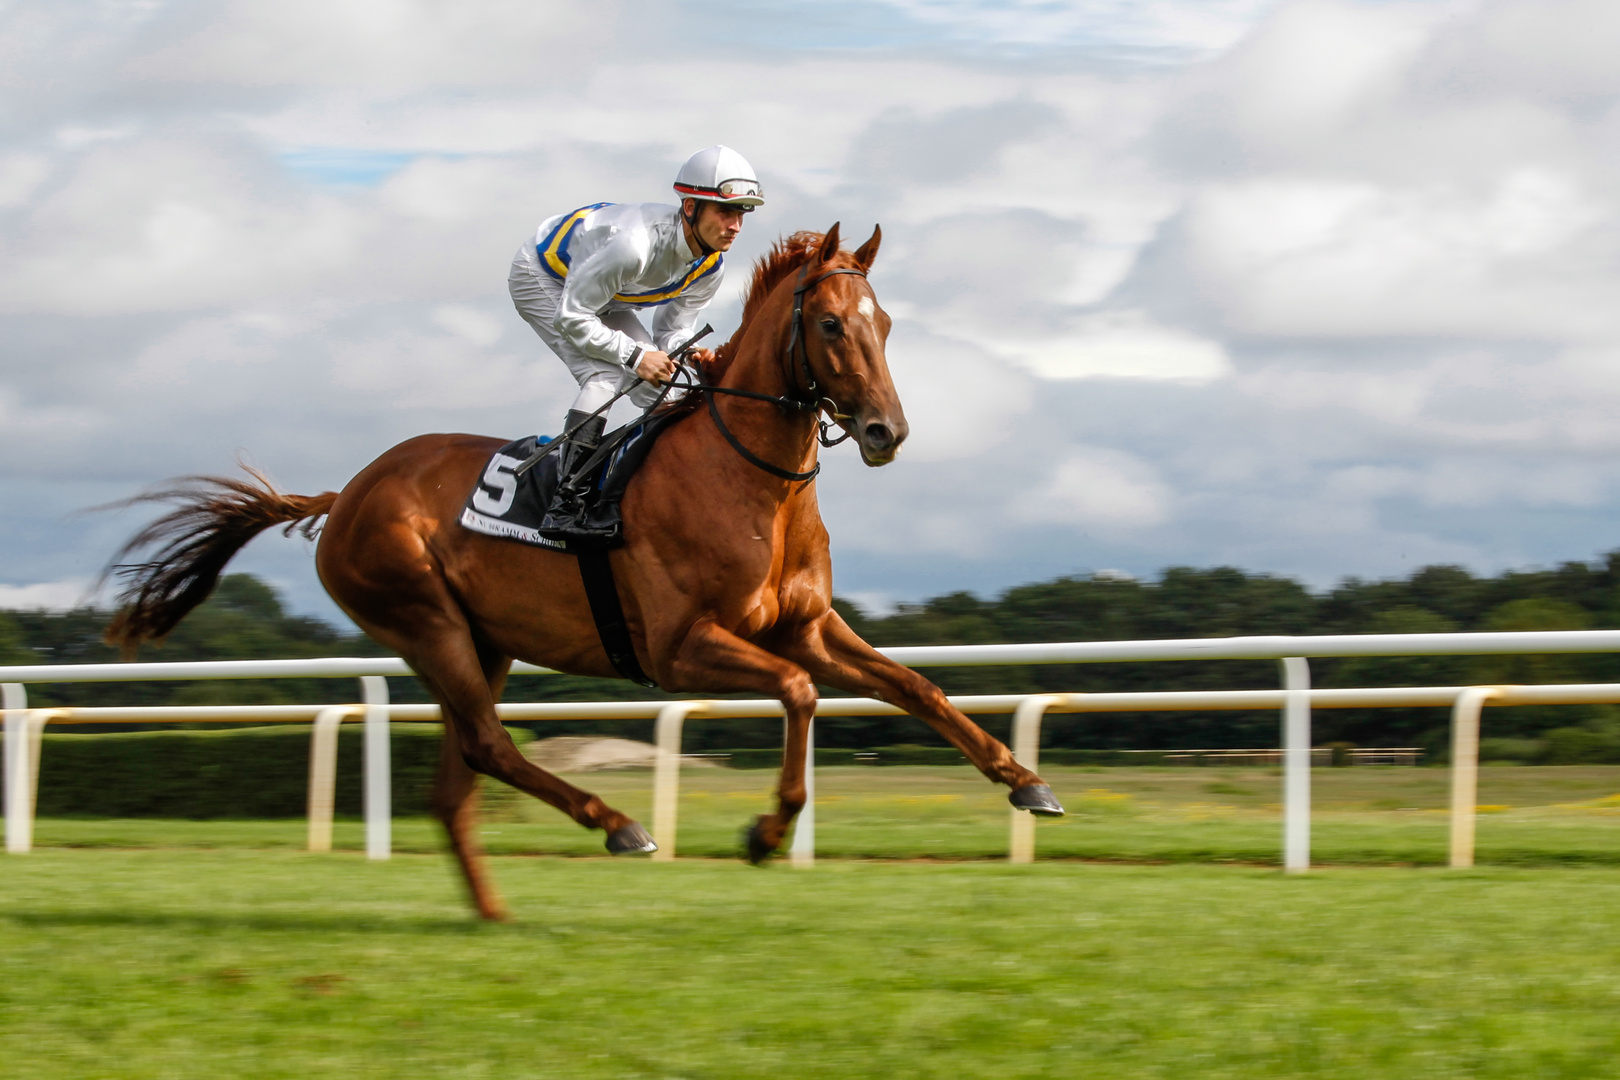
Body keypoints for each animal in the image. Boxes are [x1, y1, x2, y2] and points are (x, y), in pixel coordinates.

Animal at [101, 223, 1062, 919]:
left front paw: (1026, 782)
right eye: (830, 323)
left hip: (480, 641)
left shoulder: (806, 626)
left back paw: (494, 913)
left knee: (456, 780)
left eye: (884, 324)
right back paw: (619, 826)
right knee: (489, 745)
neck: (747, 478)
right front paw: (764, 832)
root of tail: (347, 494)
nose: (885, 432)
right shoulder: (681, 649)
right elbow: (798, 694)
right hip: (426, 621)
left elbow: (916, 687)